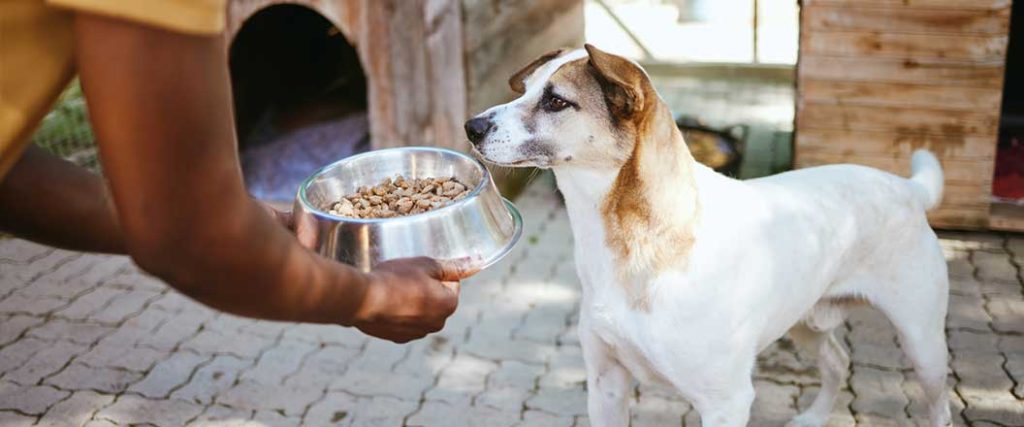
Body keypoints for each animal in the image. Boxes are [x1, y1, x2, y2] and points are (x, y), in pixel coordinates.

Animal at [464, 44, 950, 425]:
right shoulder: (606, 382)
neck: (637, 241)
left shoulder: (726, 402)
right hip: (805, 319)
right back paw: (813, 417)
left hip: (922, 342)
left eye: (556, 102)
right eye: (525, 90)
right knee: (837, 361)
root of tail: (906, 187)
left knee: (937, 403)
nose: (472, 126)